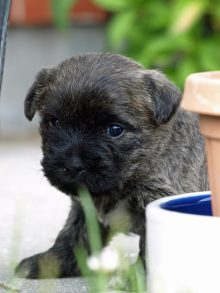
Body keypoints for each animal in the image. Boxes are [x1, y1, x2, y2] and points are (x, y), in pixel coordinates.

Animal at [15, 53, 208, 278]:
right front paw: (49, 264)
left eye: (115, 130)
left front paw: (140, 278)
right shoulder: (85, 209)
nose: (73, 165)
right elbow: (73, 236)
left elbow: (149, 248)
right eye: (54, 122)